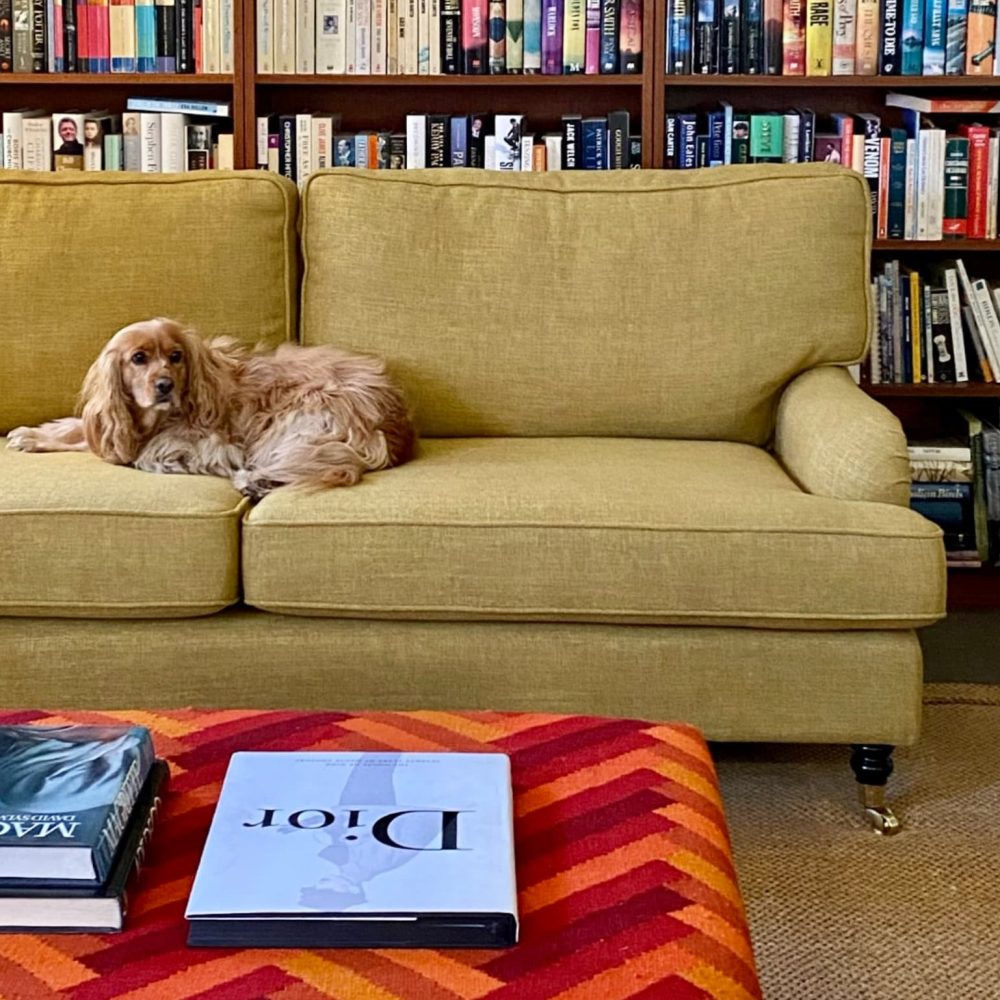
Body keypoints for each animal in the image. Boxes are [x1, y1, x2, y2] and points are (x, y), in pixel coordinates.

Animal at [7, 318, 416, 498]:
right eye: (138, 358)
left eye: (175, 357)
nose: (165, 385)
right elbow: (80, 431)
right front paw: (31, 435)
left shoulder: (213, 441)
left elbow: (148, 453)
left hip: (297, 421)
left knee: (324, 464)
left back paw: (256, 482)